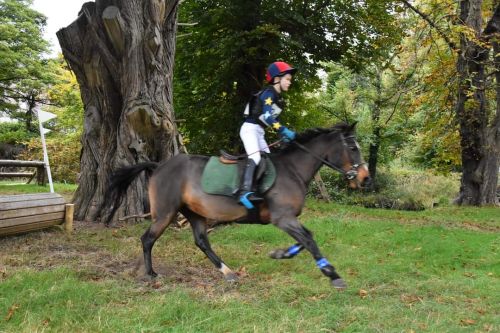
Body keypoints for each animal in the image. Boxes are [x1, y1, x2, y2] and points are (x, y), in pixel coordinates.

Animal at [105, 122, 372, 288]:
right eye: (352, 147)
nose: (365, 178)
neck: (292, 170)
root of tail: (158, 165)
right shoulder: (283, 218)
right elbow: (309, 239)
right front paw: (333, 275)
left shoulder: (288, 219)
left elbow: (306, 238)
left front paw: (280, 253)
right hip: (165, 213)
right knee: (148, 239)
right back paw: (151, 273)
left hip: (194, 213)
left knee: (201, 241)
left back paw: (228, 272)